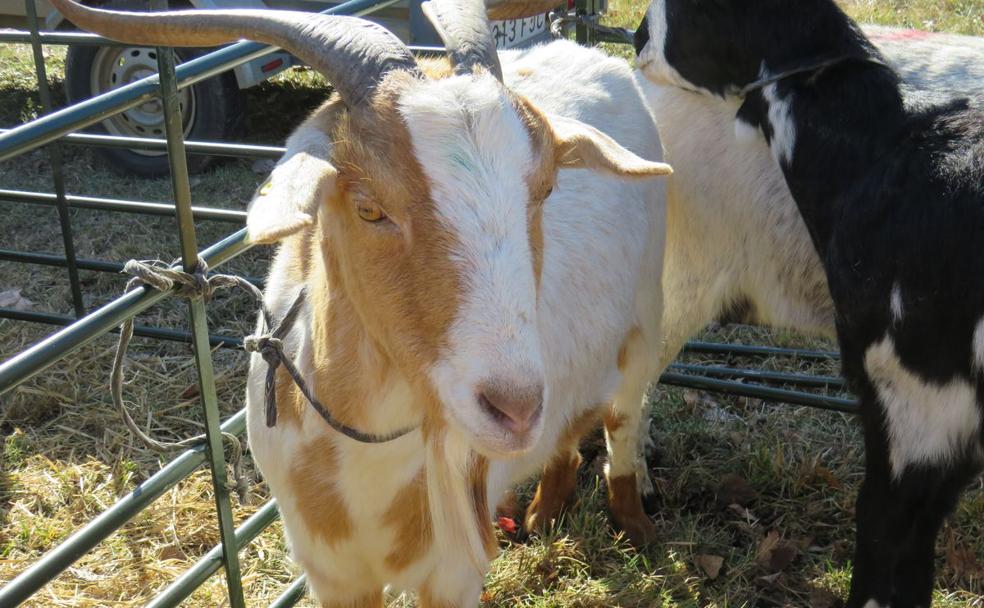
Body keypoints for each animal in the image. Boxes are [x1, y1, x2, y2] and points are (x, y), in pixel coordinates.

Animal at [52, 0, 668, 604]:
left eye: (543, 190)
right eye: (369, 207)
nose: (513, 410)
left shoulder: (454, 573)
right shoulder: (330, 571)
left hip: (647, 321)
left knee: (622, 417)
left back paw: (636, 527)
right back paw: (544, 513)